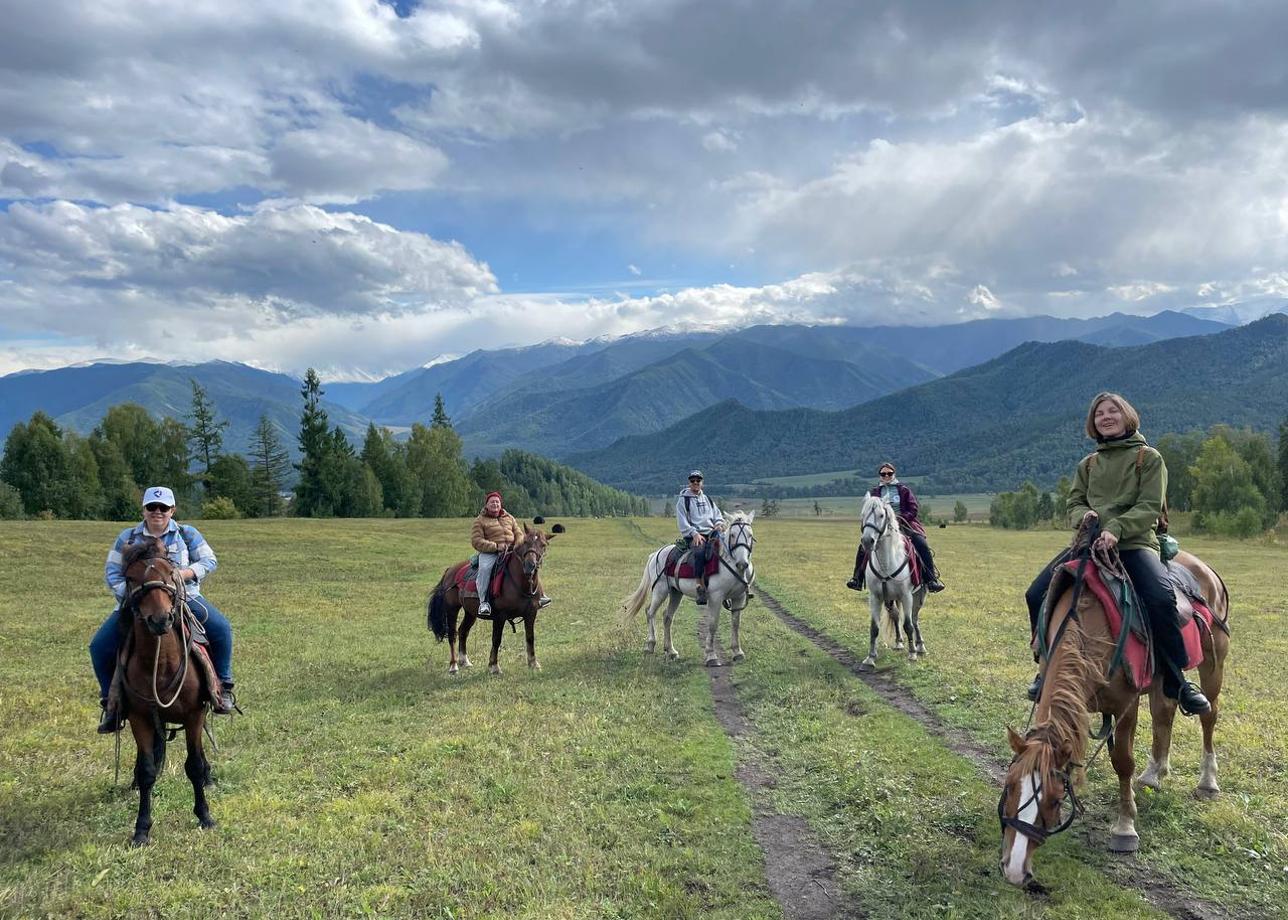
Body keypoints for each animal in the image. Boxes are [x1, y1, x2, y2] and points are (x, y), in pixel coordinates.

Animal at [116, 533, 218, 840]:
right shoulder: (139, 717)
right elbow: (148, 770)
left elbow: (193, 765)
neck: (160, 667)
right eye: (130, 577)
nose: (160, 619)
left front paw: (205, 816)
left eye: (170, 573)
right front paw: (141, 828)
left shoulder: (195, 713)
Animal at [427, 523, 558, 675]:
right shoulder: (500, 616)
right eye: (525, 542)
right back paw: (453, 666)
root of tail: (450, 571)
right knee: (452, 634)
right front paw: (494, 666)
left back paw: (464, 661)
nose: (530, 566)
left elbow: (530, 637)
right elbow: (496, 639)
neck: (521, 583)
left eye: (543, 545)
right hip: (452, 609)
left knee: (463, 631)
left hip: (470, 612)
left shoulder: (531, 614)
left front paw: (533, 663)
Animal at [620, 507, 752, 664]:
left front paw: (738, 652)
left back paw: (671, 651)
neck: (729, 563)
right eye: (732, 535)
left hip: (676, 592)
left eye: (750, 535)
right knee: (650, 612)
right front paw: (711, 655)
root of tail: (655, 554)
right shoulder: (716, 597)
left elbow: (736, 624)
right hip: (660, 590)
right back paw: (650, 645)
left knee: (667, 616)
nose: (742, 563)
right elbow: (713, 624)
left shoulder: (739, 597)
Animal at [855, 494, 927, 664]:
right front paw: (870, 657)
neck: (886, 563)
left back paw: (920, 645)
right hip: (891, 599)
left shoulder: (906, 596)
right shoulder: (875, 597)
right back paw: (899, 642)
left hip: (918, 595)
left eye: (882, 515)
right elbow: (874, 627)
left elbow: (908, 625)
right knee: (895, 614)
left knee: (914, 619)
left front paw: (912, 653)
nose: (867, 541)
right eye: (863, 515)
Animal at [999, 515, 1231, 881]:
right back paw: (1154, 773)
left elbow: (1122, 761)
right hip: (1163, 678)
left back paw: (1207, 780)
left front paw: (1125, 829)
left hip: (1214, 661)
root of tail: (1205, 569)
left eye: (1055, 800)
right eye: (1009, 787)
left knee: (1209, 715)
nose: (1013, 869)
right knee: (1164, 712)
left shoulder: (1125, 704)